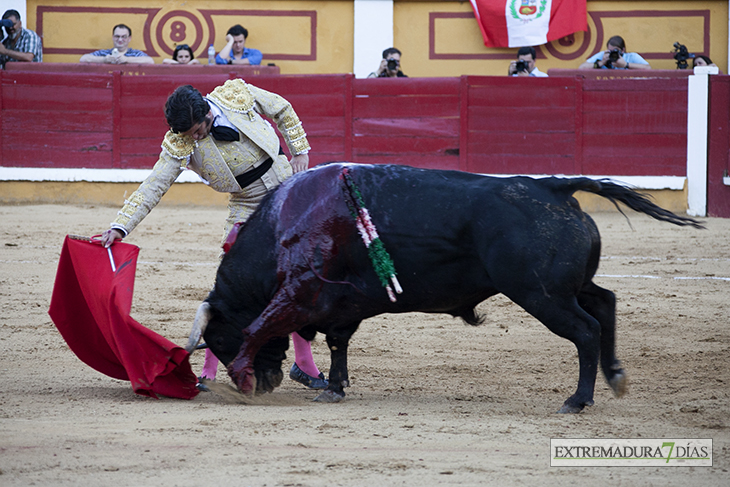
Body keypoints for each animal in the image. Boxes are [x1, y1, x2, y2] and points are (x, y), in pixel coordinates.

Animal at [186, 163, 700, 412]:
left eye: (220, 340)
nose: (265, 385)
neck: (285, 224)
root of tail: (551, 188)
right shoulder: (342, 304)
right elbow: (337, 343)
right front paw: (333, 387)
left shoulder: (300, 293)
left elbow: (260, 326)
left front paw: (243, 376)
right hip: (565, 286)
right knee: (605, 302)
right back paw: (615, 376)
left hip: (541, 294)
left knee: (586, 330)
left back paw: (577, 400)